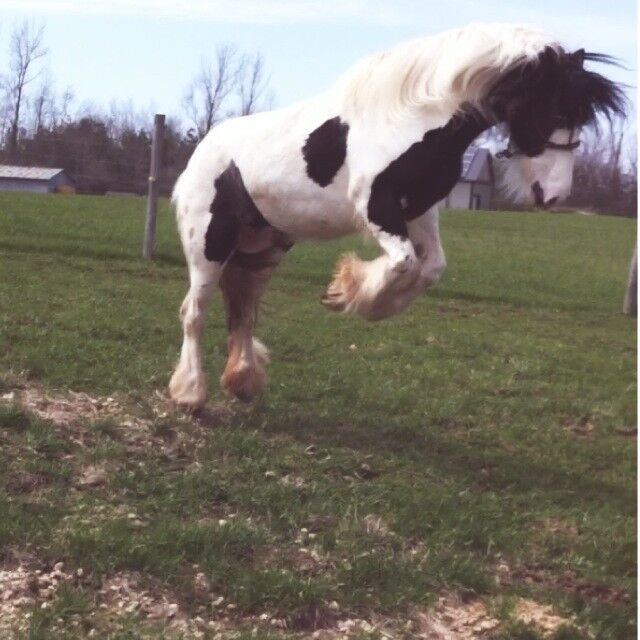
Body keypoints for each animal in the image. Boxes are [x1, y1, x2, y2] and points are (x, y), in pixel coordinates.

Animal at [168, 23, 625, 410]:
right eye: (556, 112)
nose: (555, 195)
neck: (413, 117)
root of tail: (200, 155)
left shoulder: (419, 211)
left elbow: (430, 268)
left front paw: (359, 297)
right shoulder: (376, 206)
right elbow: (404, 262)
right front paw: (349, 292)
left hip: (263, 249)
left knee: (243, 311)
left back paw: (241, 381)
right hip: (210, 245)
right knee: (194, 312)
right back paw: (191, 394)